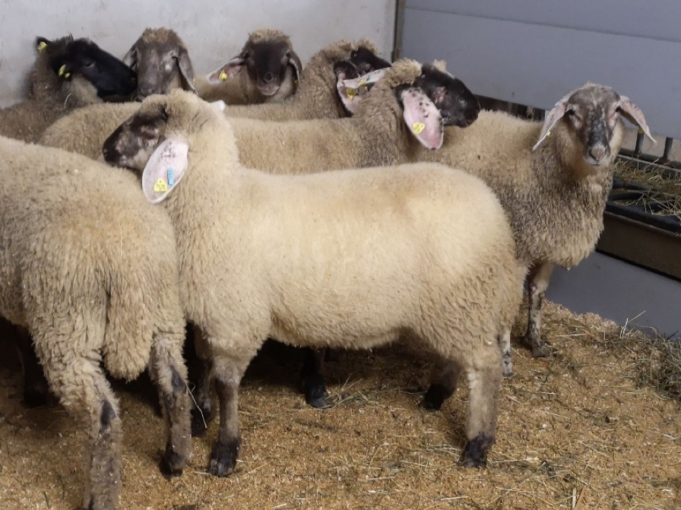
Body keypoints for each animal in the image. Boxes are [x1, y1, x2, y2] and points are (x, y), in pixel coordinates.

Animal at [0, 135, 191, 510]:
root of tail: (131, 260)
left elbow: (18, 338)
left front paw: (32, 391)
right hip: (164, 313)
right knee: (174, 382)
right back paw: (174, 459)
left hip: (67, 324)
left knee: (102, 416)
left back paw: (99, 497)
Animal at [102, 88, 524, 474]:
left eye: (148, 128)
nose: (105, 149)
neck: (218, 203)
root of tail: (493, 212)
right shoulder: (213, 315)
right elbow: (203, 365)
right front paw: (202, 413)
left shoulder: (236, 319)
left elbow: (227, 385)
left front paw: (225, 450)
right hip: (459, 308)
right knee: (461, 360)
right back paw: (437, 395)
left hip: (462, 301)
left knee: (485, 368)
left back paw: (477, 445)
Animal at [404, 82, 652, 378]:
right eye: (572, 112)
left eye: (616, 110)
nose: (598, 152)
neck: (546, 164)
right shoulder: (517, 251)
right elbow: (509, 305)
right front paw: (506, 360)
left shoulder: (548, 246)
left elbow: (537, 294)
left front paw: (535, 341)